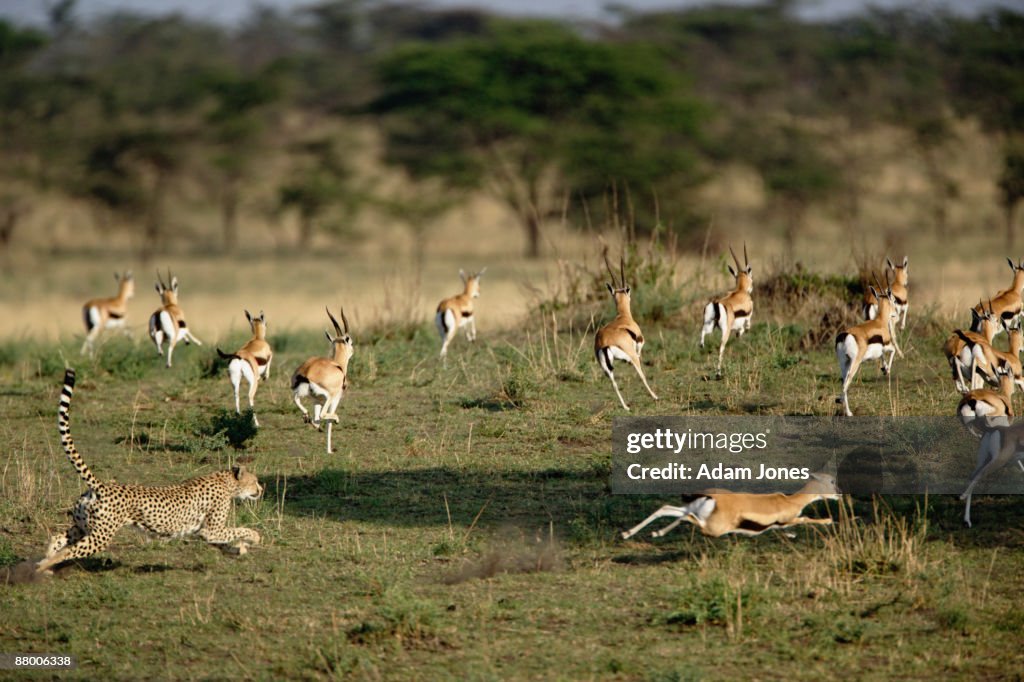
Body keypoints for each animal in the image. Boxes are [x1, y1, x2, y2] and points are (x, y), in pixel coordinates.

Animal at [37, 368, 264, 569]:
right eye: (254, 481)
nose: (261, 490)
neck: (226, 481)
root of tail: (101, 486)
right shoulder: (212, 530)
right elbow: (238, 530)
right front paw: (254, 537)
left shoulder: (204, 532)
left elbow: (224, 543)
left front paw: (239, 549)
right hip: (100, 536)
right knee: (67, 551)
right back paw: (41, 569)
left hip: (83, 526)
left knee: (57, 538)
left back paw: (43, 562)